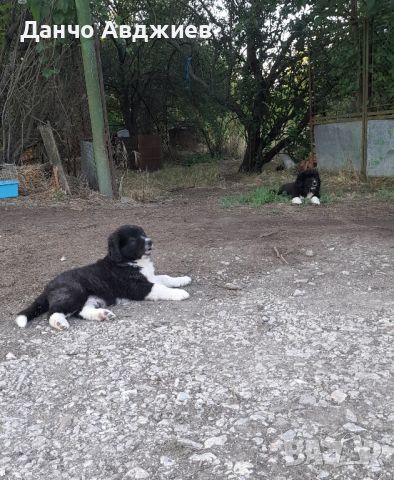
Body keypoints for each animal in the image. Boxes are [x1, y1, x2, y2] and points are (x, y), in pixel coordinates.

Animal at [16, 225, 192, 330]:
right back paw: (59, 322)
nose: (150, 241)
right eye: (133, 240)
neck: (127, 261)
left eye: (144, 234)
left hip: (92, 298)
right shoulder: (138, 286)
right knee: (53, 312)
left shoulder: (149, 277)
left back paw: (102, 314)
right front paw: (179, 293)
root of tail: (47, 288)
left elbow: (165, 278)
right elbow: (160, 287)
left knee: (82, 312)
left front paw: (183, 279)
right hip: (74, 292)